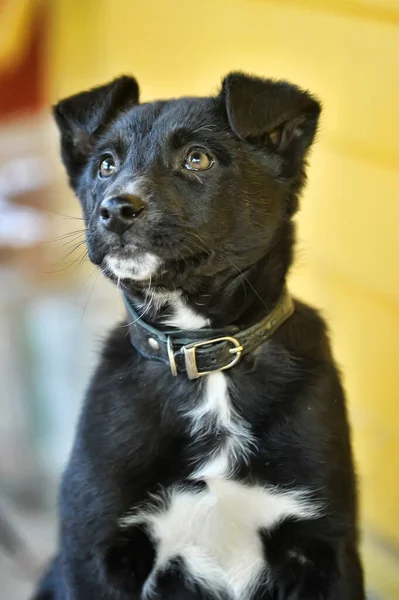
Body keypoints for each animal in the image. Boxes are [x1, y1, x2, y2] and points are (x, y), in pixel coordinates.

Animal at [33, 72, 366, 596]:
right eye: (106, 164)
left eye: (198, 158)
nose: (116, 209)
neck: (205, 358)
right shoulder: (94, 550)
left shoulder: (325, 547)